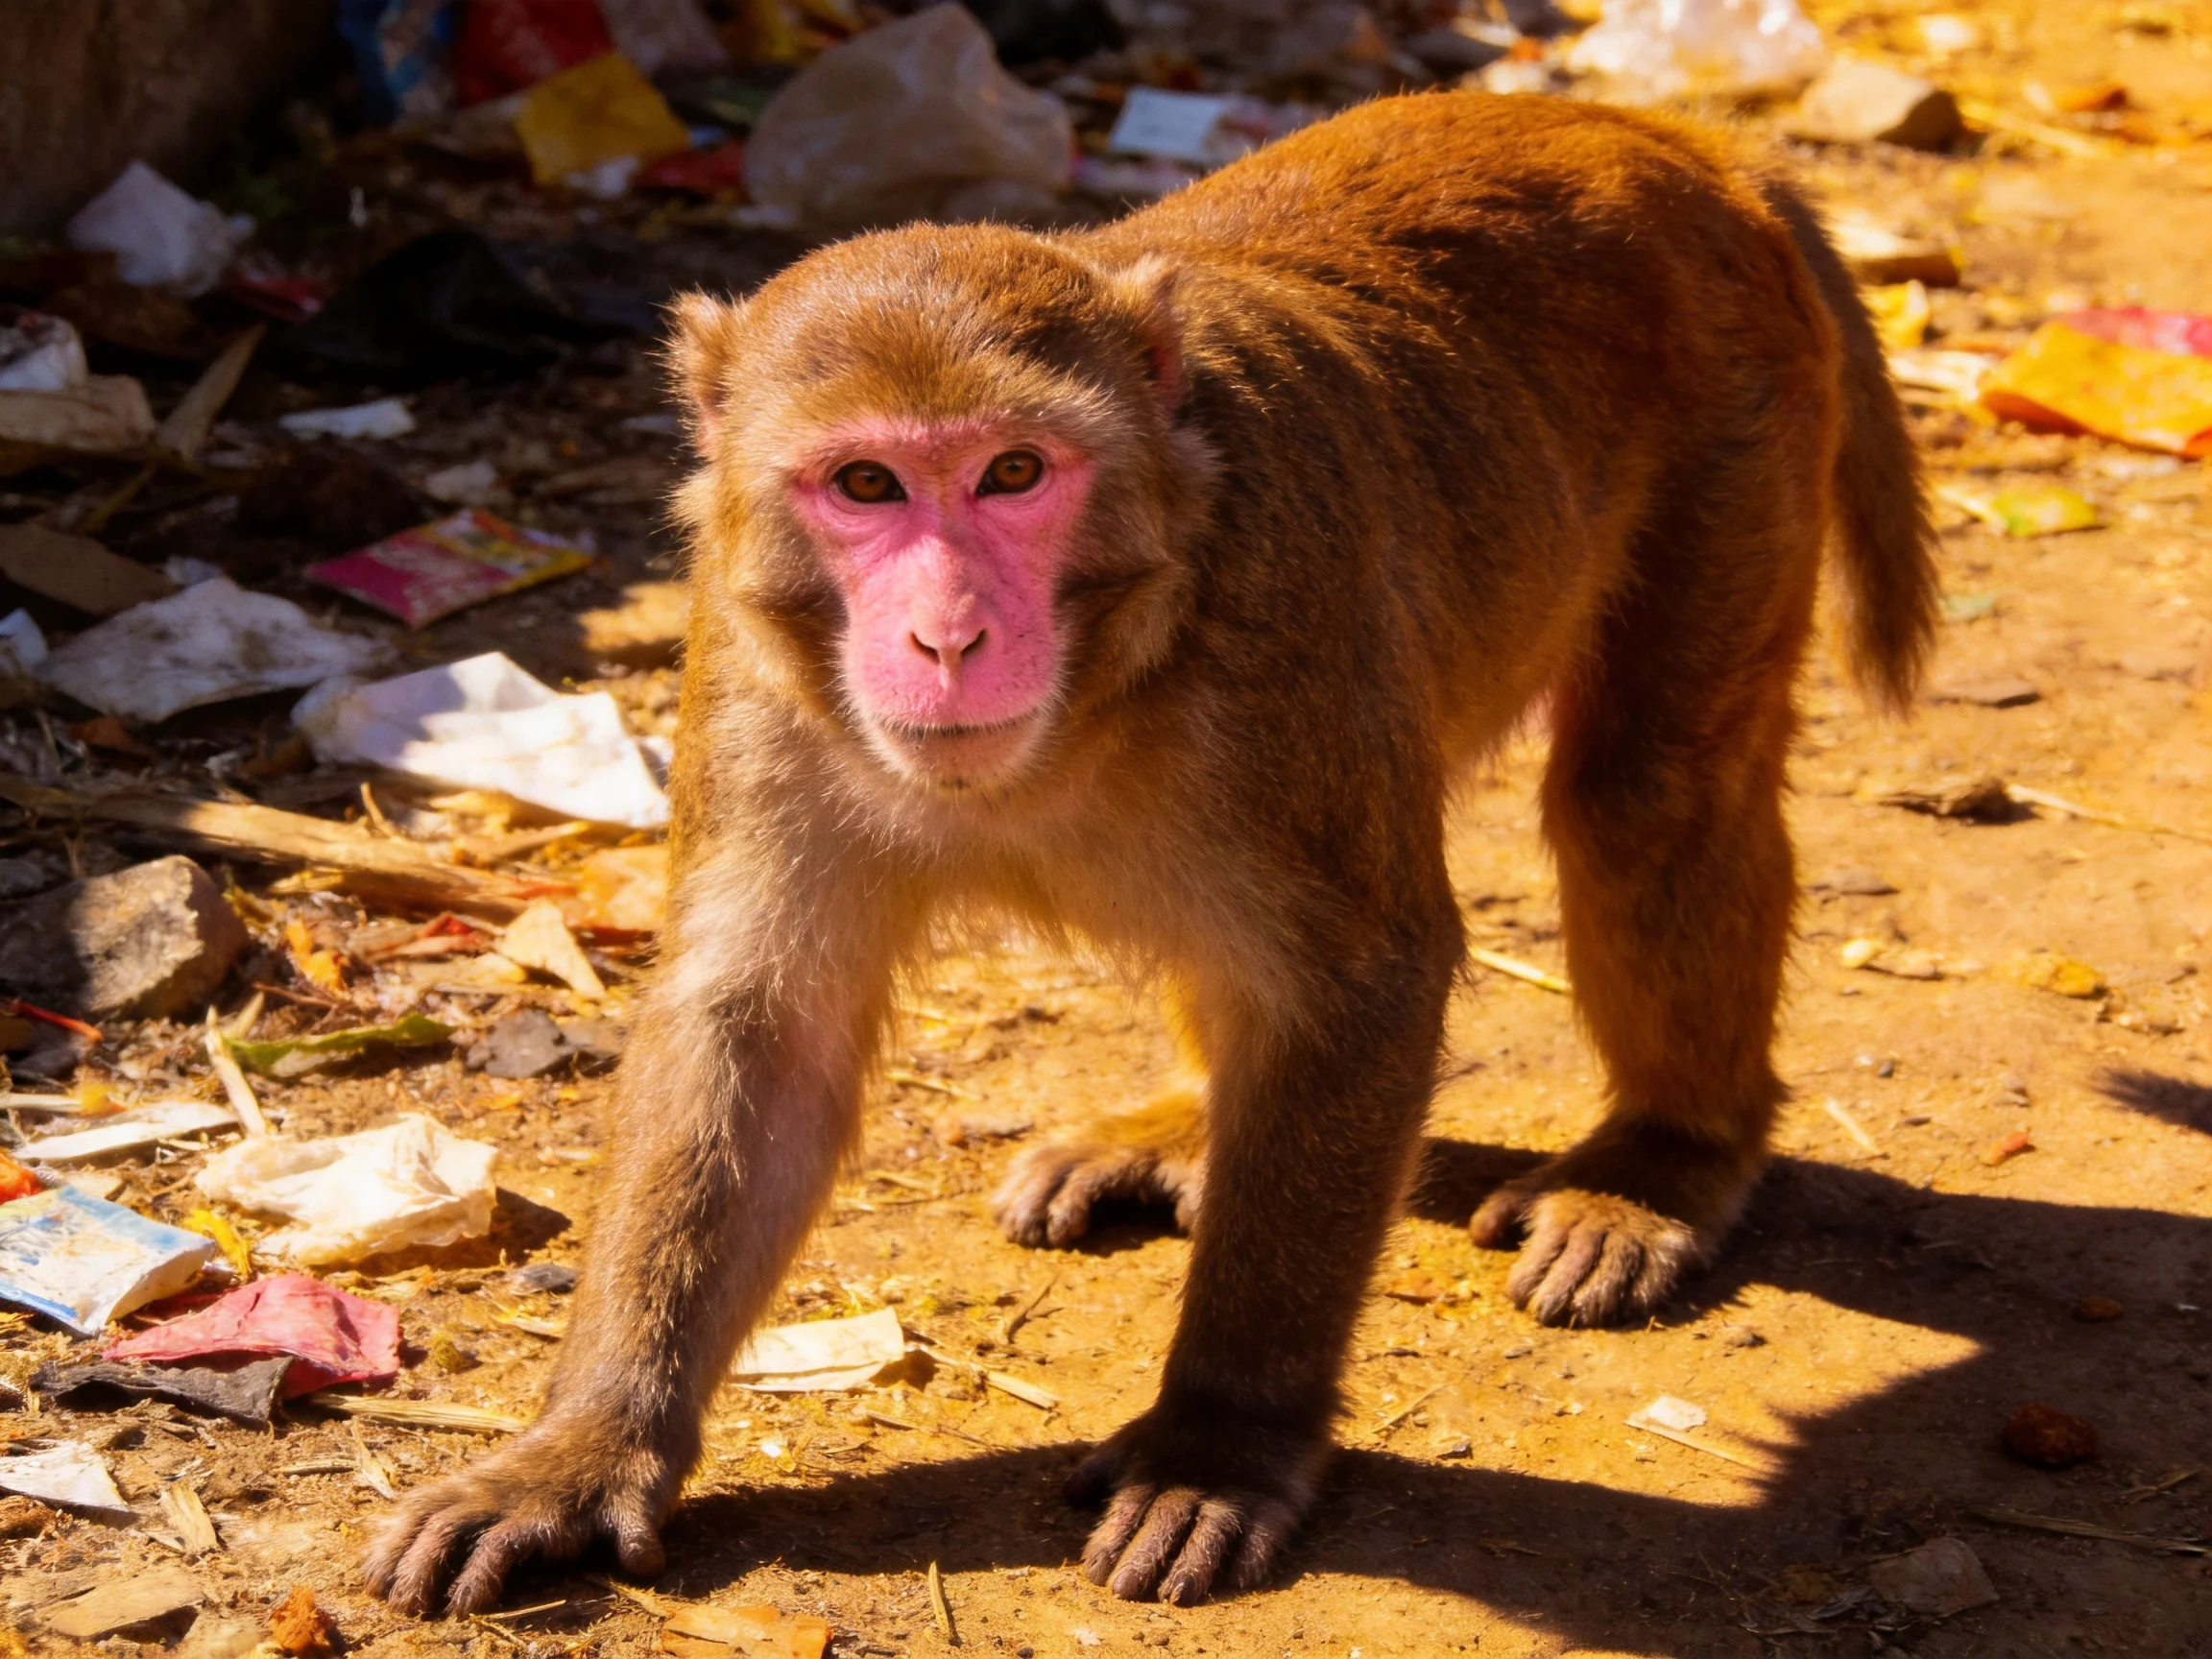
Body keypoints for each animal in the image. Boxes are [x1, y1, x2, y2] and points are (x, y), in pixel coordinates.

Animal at [365, 88, 1936, 1615]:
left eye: (1013, 472)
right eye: (866, 484)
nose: (946, 636)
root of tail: (1669, 136)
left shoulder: (1283, 627)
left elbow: (1360, 983)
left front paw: (1220, 1441)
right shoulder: (754, 673)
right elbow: (762, 1029)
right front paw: (582, 1451)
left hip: (1736, 406)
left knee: (1647, 789)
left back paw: (1667, 1159)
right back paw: (1191, 1121)